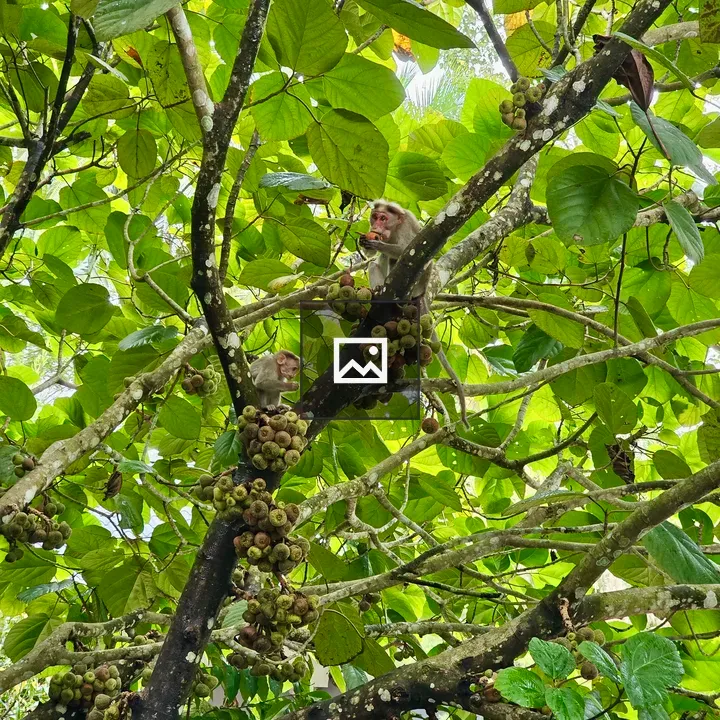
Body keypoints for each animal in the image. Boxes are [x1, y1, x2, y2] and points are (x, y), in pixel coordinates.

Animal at [359, 201, 469, 427]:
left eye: (383, 218)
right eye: (374, 217)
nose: (376, 225)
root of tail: (423, 292)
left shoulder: (406, 227)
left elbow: (408, 251)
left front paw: (377, 244)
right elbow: (373, 258)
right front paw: (366, 243)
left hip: (417, 284)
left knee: (403, 261)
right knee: (376, 264)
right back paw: (379, 291)